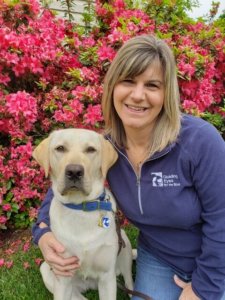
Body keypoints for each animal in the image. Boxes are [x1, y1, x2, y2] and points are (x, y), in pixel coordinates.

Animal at [32, 128, 133, 300]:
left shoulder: (107, 278)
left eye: (91, 149)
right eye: (60, 148)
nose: (74, 171)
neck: (80, 208)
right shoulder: (63, 277)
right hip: (47, 270)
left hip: (124, 242)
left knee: (129, 282)